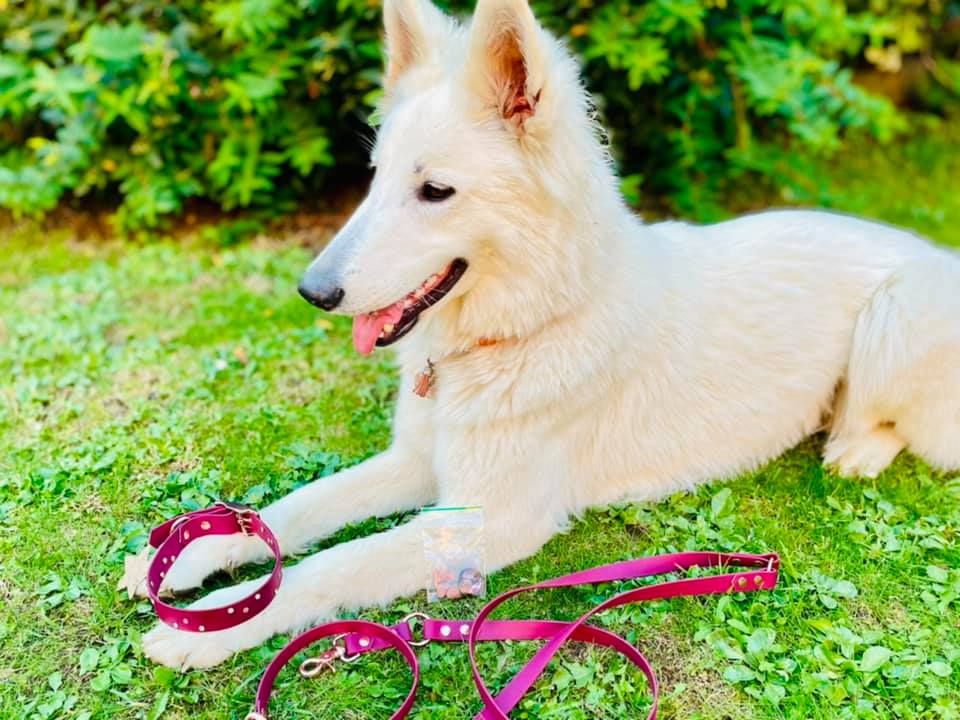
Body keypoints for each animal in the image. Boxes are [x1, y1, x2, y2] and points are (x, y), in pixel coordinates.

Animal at [139, 0, 960, 669]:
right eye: (374, 178)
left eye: (434, 191)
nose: (313, 292)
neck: (529, 325)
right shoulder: (420, 463)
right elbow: (300, 508)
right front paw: (197, 559)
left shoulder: (482, 520)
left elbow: (332, 564)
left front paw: (211, 623)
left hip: (893, 314)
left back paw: (852, 445)